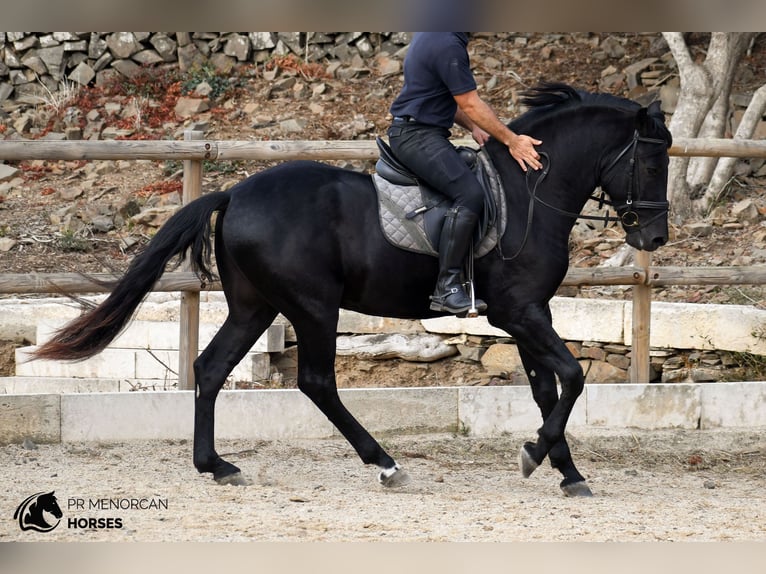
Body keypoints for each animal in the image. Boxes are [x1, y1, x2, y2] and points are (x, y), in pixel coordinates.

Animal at [33, 82, 672, 497]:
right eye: (651, 163)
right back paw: (385, 464)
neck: (527, 193)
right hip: (313, 306)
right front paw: (537, 455)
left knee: (211, 368)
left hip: (254, 307)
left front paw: (564, 470)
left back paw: (216, 466)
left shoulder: (524, 314)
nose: (656, 236)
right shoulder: (521, 311)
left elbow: (546, 388)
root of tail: (234, 193)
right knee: (316, 382)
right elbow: (571, 376)